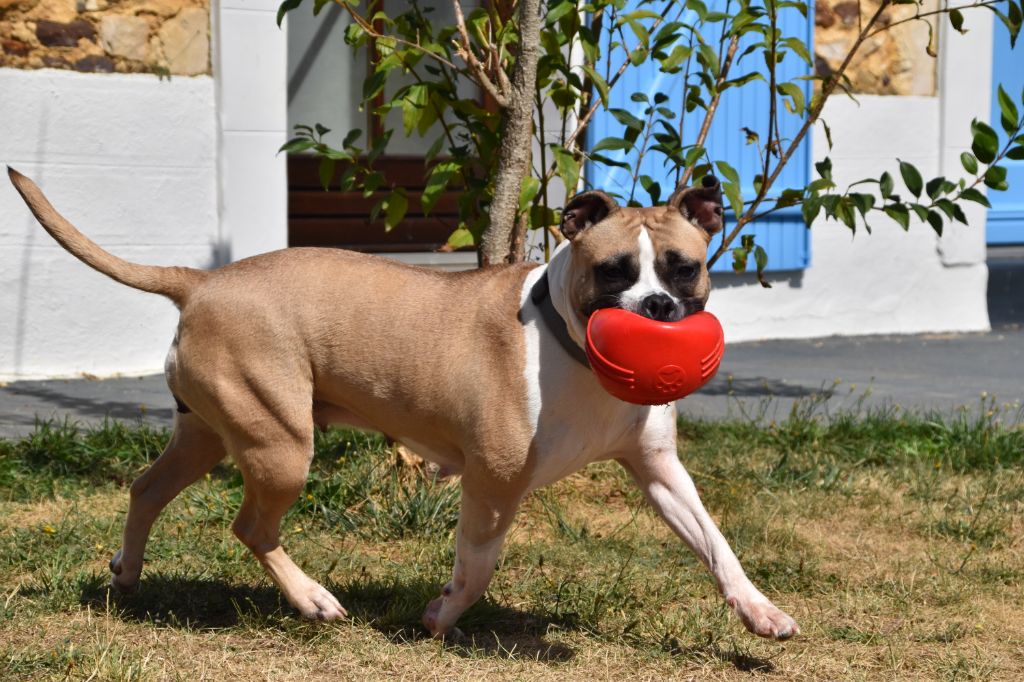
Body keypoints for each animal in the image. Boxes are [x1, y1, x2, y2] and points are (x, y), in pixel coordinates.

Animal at [9, 168, 798, 638]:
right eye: (613, 272)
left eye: (684, 268)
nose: (658, 308)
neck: (569, 349)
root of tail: (201, 282)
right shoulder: (492, 482)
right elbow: (477, 569)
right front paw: (441, 615)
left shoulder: (660, 471)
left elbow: (717, 546)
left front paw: (759, 612)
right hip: (280, 444)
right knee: (250, 526)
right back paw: (311, 598)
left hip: (207, 432)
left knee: (147, 489)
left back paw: (128, 575)